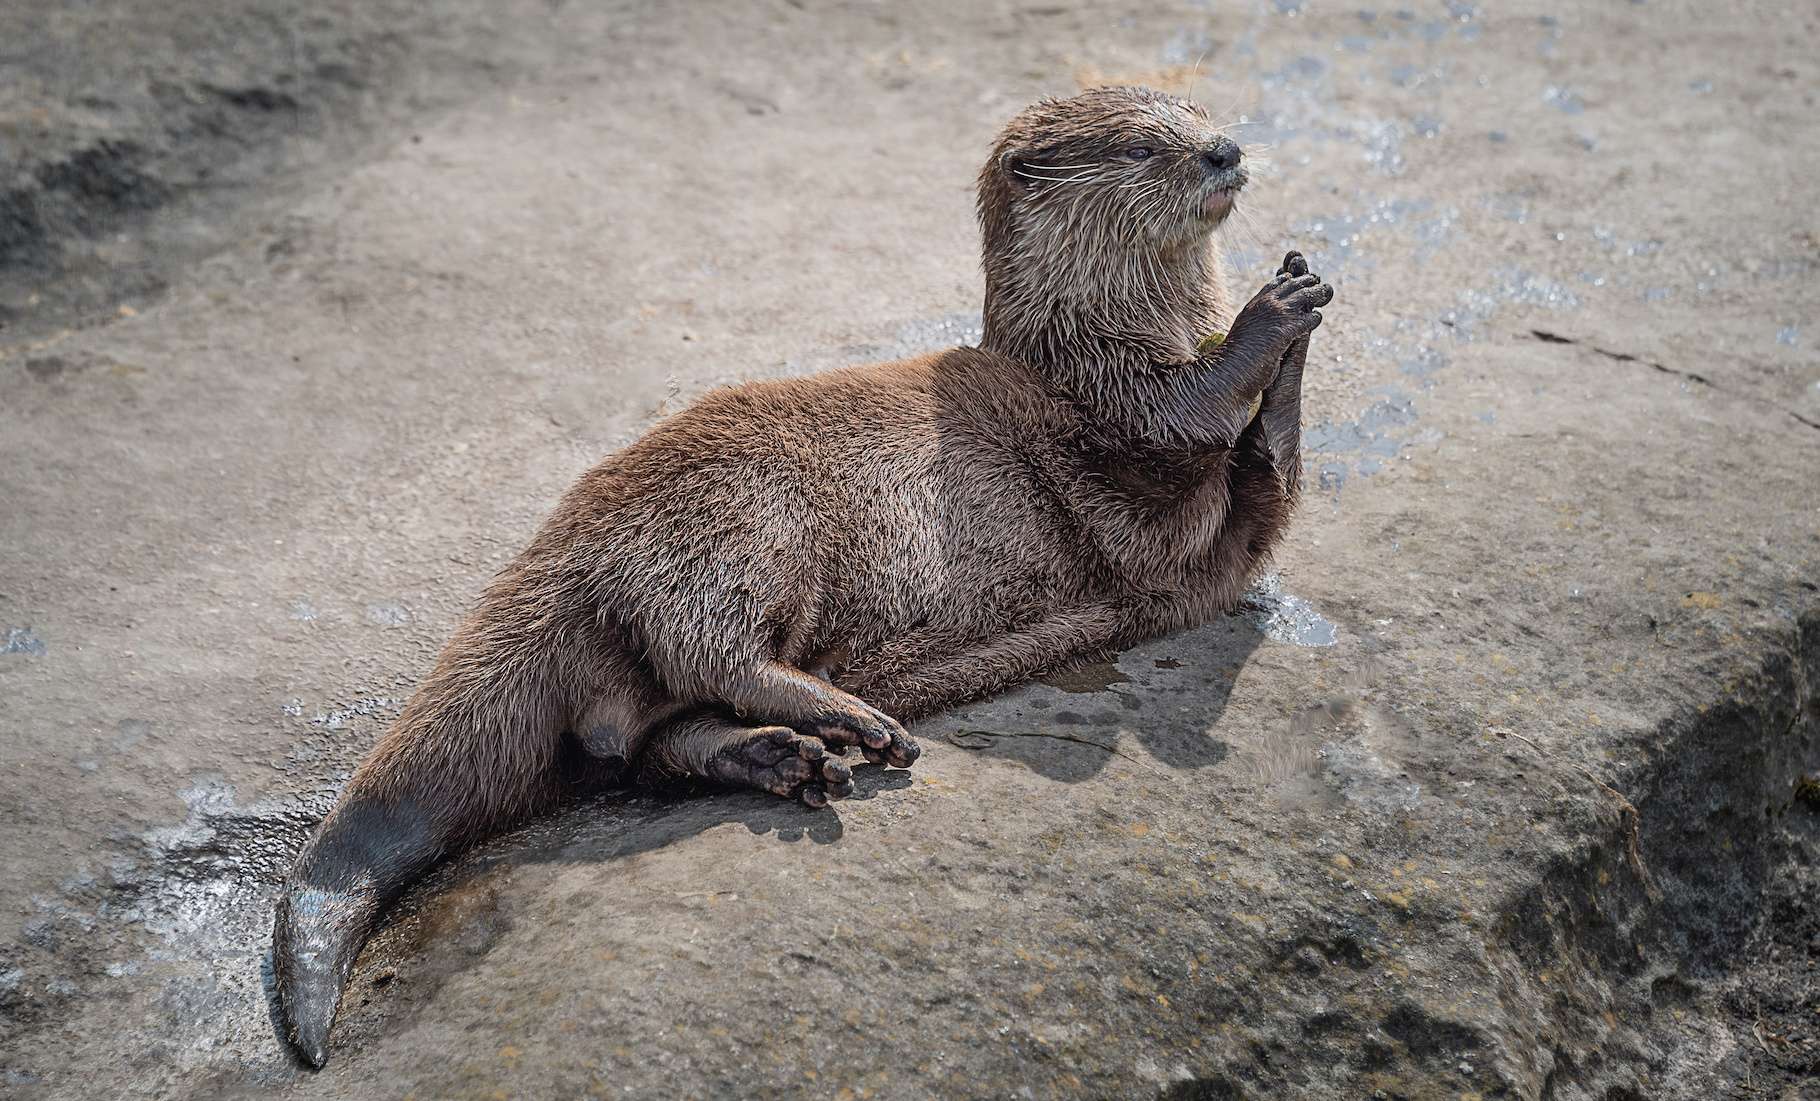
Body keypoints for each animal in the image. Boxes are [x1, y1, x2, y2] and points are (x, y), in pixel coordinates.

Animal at [269, 85, 1332, 1062]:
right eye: (1145, 145)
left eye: (1195, 108)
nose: (1225, 149)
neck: (1082, 342)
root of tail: (564, 542)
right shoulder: (1110, 409)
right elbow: (1189, 411)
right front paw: (1272, 312)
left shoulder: (1220, 545)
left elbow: (1267, 484)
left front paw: (1301, 296)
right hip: (742, 522)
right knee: (715, 649)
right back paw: (852, 722)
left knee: (652, 739)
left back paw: (786, 756)